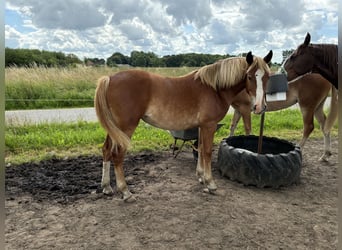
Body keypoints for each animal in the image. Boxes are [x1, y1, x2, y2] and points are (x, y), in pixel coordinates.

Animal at [94, 50, 272, 201]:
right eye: (249, 76)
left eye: (267, 77)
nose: (259, 107)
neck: (215, 89)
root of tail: (110, 78)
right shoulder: (209, 125)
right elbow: (207, 151)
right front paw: (210, 183)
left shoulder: (202, 126)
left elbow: (200, 148)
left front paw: (201, 176)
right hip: (125, 128)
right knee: (117, 155)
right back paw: (125, 192)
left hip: (115, 129)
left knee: (106, 150)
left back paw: (107, 187)